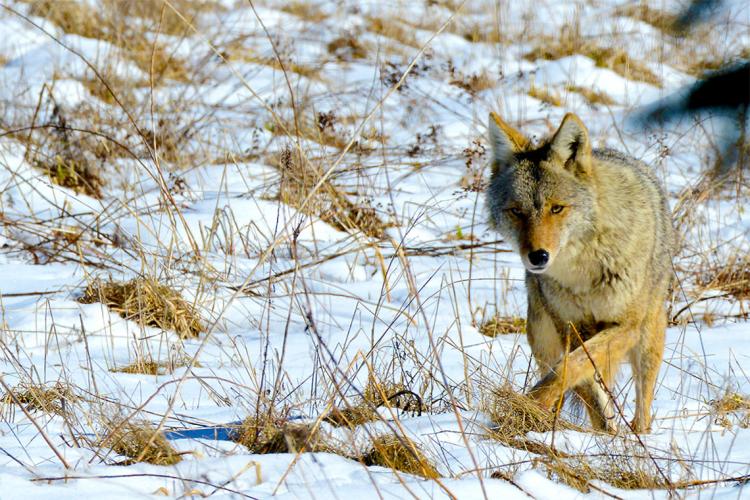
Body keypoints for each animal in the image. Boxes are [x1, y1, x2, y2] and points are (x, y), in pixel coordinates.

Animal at [486, 112, 674, 433]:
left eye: (557, 208)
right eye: (517, 211)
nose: (538, 256)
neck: (583, 272)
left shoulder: (626, 326)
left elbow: (569, 369)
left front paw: (530, 401)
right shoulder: (569, 328)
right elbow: (583, 382)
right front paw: (603, 433)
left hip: (648, 337)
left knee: (643, 404)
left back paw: (640, 433)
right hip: (540, 333)